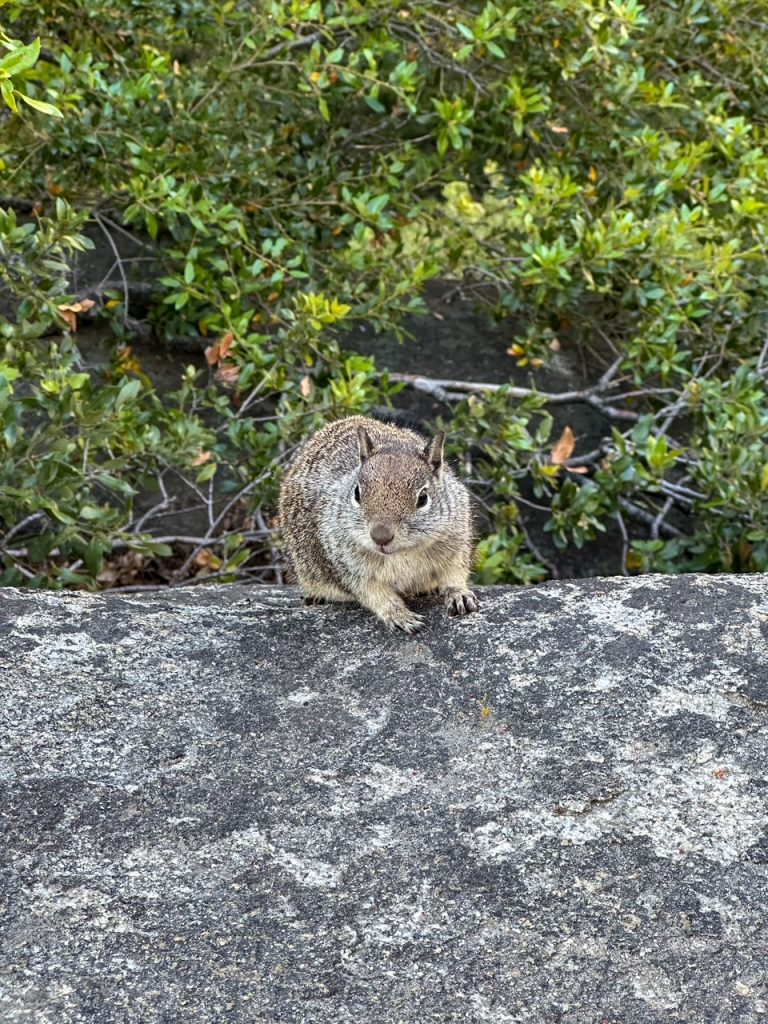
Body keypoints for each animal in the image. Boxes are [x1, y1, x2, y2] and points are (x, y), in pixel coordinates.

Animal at [278, 415, 478, 633]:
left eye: (423, 498)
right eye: (357, 493)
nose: (380, 536)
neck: (403, 554)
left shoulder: (456, 543)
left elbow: (454, 573)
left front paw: (459, 594)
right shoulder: (351, 569)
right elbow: (376, 596)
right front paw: (400, 615)